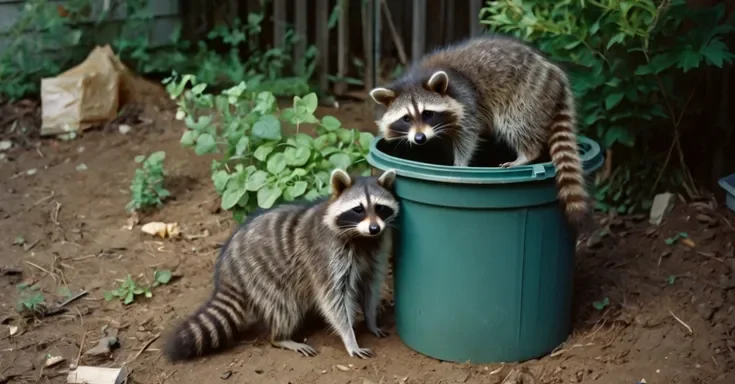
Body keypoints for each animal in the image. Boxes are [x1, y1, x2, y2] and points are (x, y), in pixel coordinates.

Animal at [164, 168, 400, 360]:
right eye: (358, 209)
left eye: (380, 207)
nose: (374, 228)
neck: (362, 238)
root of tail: (227, 266)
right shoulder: (326, 255)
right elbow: (333, 299)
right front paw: (349, 337)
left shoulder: (375, 250)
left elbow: (370, 286)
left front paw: (371, 320)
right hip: (262, 275)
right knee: (284, 306)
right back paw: (280, 337)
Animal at [370, 34, 588, 226]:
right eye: (406, 118)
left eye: (428, 114)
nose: (420, 138)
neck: (417, 78)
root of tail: (556, 75)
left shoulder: (467, 101)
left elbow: (468, 136)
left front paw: (459, 166)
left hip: (527, 94)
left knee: (516, 121)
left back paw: (526, 154)